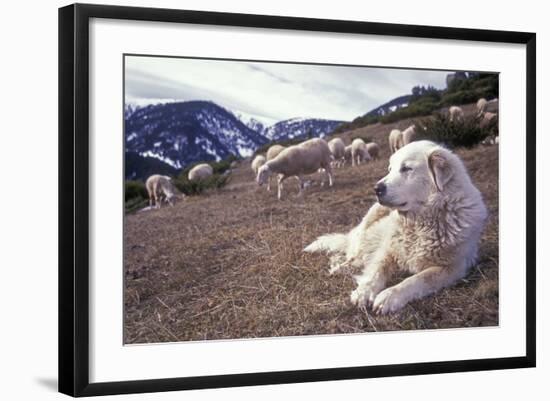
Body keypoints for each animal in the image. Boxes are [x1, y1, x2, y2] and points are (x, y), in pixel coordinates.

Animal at [304, 140, 490, 312]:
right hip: (371, 217)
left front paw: (389, 296)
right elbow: (376, 271)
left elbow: (416, 279)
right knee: (354, 255)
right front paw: (364, 291)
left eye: (406, 168)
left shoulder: (453, 268)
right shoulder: (387, 250)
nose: (376, 188)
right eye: (390, 169)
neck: (418, 224)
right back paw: (340, 266)